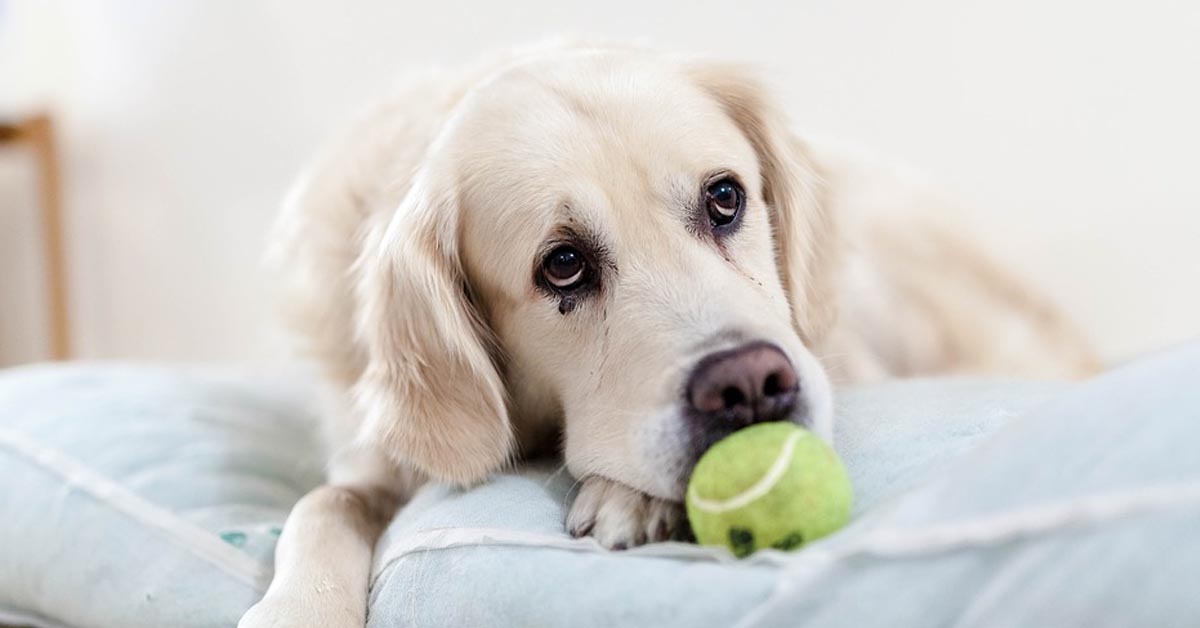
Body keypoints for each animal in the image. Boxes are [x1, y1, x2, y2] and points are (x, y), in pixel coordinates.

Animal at [236, 41, 1099, 624]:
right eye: (562, 265)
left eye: (725, 198)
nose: (749, 385)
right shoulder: (374, 458)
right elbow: (322, 506)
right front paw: (297, 606)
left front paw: (627, 493)